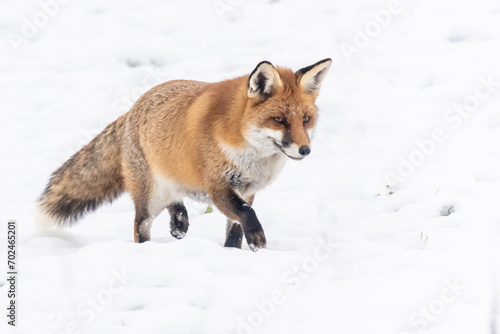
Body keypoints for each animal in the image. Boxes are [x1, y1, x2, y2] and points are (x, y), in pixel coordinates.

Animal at [39, 58, 332, 249]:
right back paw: (147, 248)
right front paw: (257, 238)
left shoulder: (247, 189)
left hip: (168, 182)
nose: (305, 149)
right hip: (150, 198)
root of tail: (132, 108)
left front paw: (233, 252)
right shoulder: (218, 187)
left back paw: (179, 223)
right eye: (279, 120)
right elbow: (246, 213)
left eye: (305, 120)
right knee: (140, 225)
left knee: (175, 199)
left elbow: (236, 228)